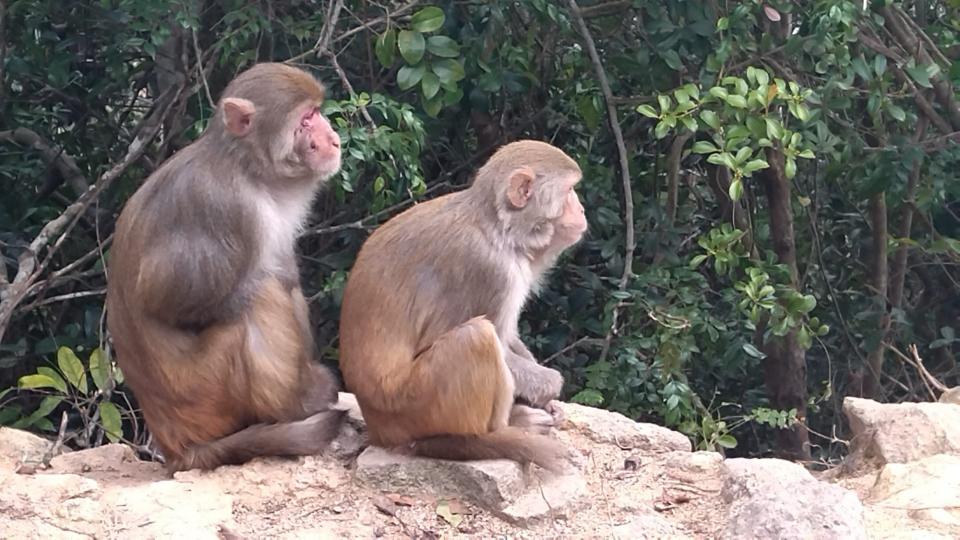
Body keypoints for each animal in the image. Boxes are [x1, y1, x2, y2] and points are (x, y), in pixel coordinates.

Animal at [107, 61, 346, 470]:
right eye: (306, 120)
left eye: (316, 113)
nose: (332, 138)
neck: (251, 170)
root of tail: (176, 447)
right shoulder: (229, 209)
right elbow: (165, 300)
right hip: (203, 392)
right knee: (264, 292)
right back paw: (297, 403)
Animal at [342, 140, 588, 472]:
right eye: (569, 191)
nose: (582, 209)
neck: (499, 229)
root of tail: (379, 429)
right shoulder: (490, 269)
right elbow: (490, 339)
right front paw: (548, 384)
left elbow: (509, 337)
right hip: (412, 405)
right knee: (477, 337)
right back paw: (503, 429)